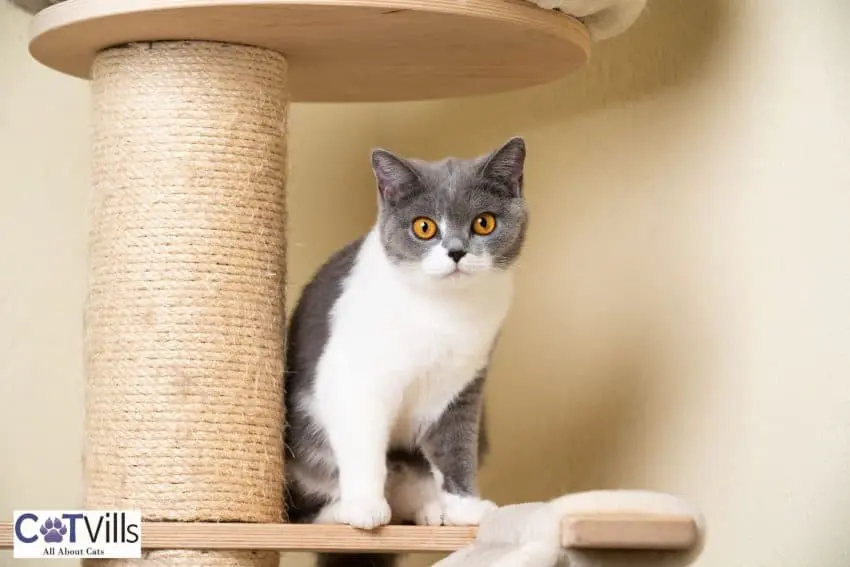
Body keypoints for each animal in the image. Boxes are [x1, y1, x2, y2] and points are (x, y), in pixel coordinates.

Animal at [282, 139, 528, 567]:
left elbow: (457, 445)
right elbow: (362, 441)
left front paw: (465, 508)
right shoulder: (353, 378)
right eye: (424, 227)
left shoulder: (464, 385)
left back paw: (431, 511)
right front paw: (365, 507)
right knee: (303, 508)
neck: (443, 311)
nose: (456, 252)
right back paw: (341, 510)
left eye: (484, 223)